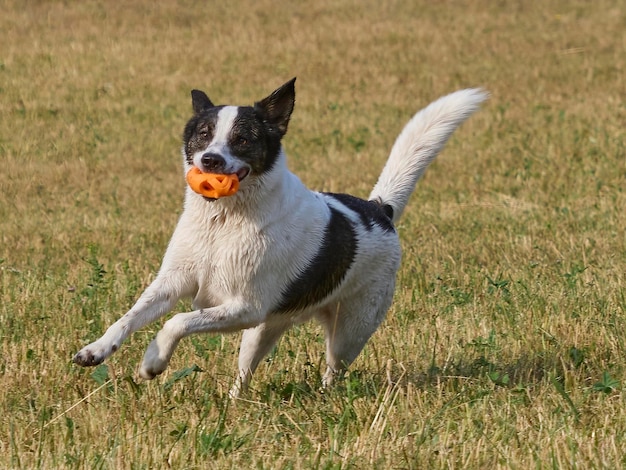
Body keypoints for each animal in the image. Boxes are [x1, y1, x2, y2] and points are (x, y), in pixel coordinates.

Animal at [72, 78, 482, 396]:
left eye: (242, 139)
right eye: (203, 135)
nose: (210, 161)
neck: (224, 222)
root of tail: (379, 209)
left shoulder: (245, 306)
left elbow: (177, 323)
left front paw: (153, 362)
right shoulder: (174, 282)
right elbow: (129, 317)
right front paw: (96, 350)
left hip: (348, 330)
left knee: (334, 368)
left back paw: (324, 395)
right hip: (263, 330)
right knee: (245, 373)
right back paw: (235, 402)